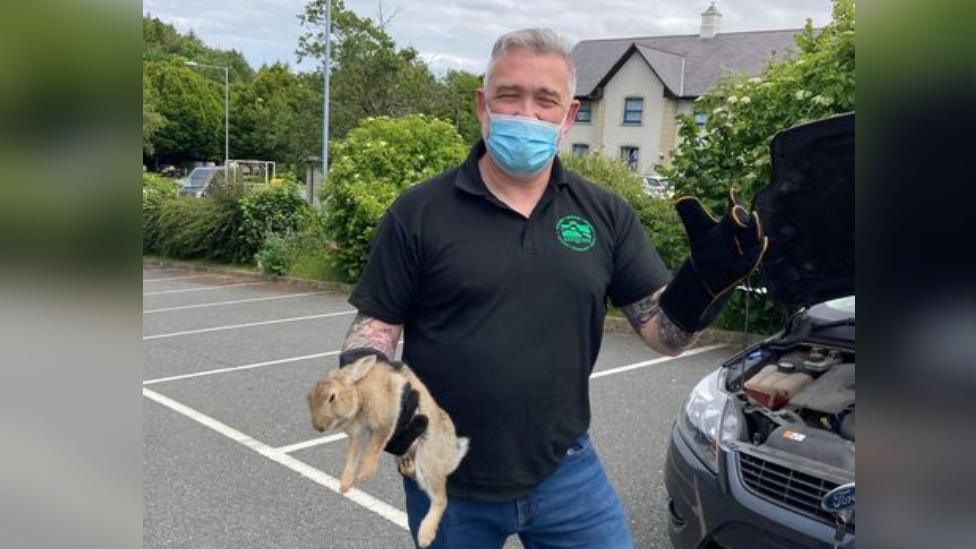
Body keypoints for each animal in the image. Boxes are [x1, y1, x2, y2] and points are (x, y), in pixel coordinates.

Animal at [306, 354, 470, 544]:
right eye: (309, 398)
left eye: (332, 397)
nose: (319, 427)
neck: (358, 391)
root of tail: (452, 456)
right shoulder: (360, 434)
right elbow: (353, 456)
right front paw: (345, 485)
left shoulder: (385, 419)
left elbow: (374, 447)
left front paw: (364, 475)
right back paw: (407, 466)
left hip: (428, 460)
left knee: (441, 499)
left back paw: (425, 535)